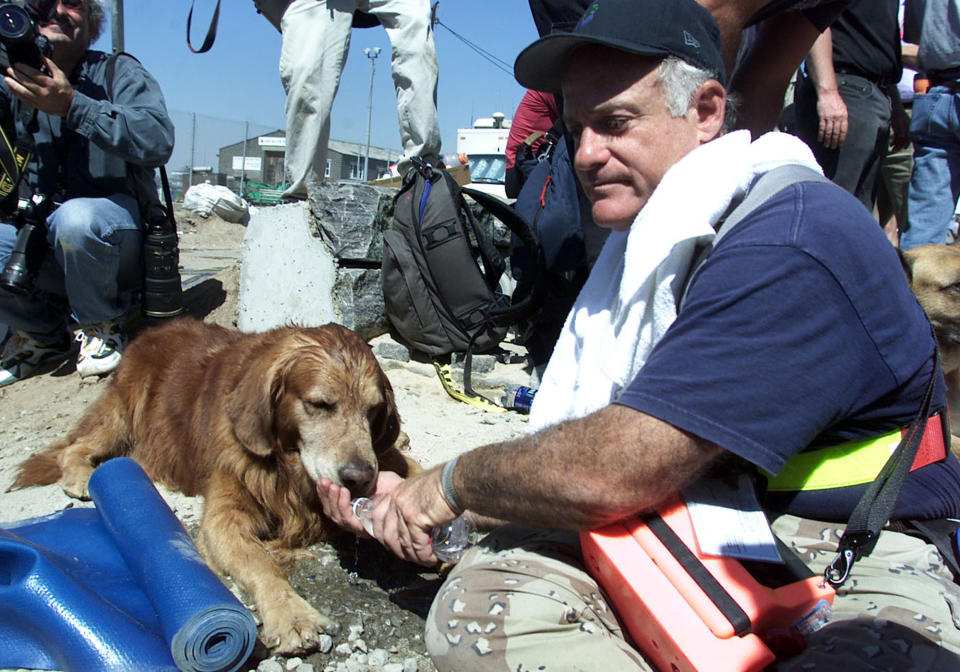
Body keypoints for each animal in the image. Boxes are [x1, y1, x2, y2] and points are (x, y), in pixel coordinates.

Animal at [8, 318, 416, 652]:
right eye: (319, 405)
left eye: (373, 411)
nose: (359, 477)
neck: (287, 466)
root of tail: (154, 330)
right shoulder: (224, 514)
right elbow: (259, 561)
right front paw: (292, 615)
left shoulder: (384, 458)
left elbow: (411, 470)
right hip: (123, 413)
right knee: (76, 446)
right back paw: (80, 477)